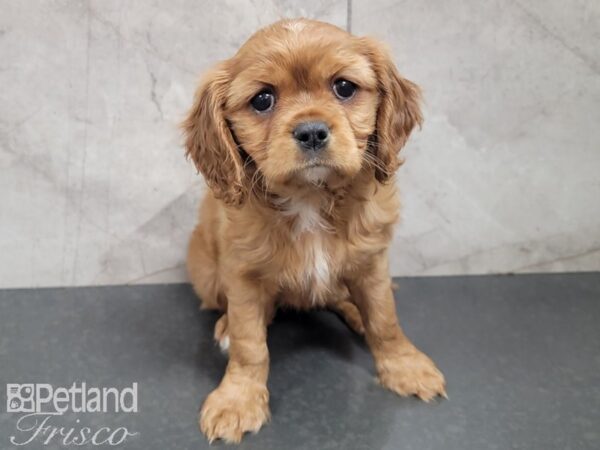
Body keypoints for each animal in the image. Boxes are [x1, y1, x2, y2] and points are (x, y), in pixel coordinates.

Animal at [183, 18, 446, 442]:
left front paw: (405, 367)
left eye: (344, 87)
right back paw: (225, 326)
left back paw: (355, 313)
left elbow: (385, 319)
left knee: (342, 298)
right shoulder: (242, 274)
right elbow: (249, 343)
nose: (311, 132)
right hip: (205, 271)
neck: (310, 198)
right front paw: (237, 400)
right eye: (262, 100)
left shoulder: (372, 261)